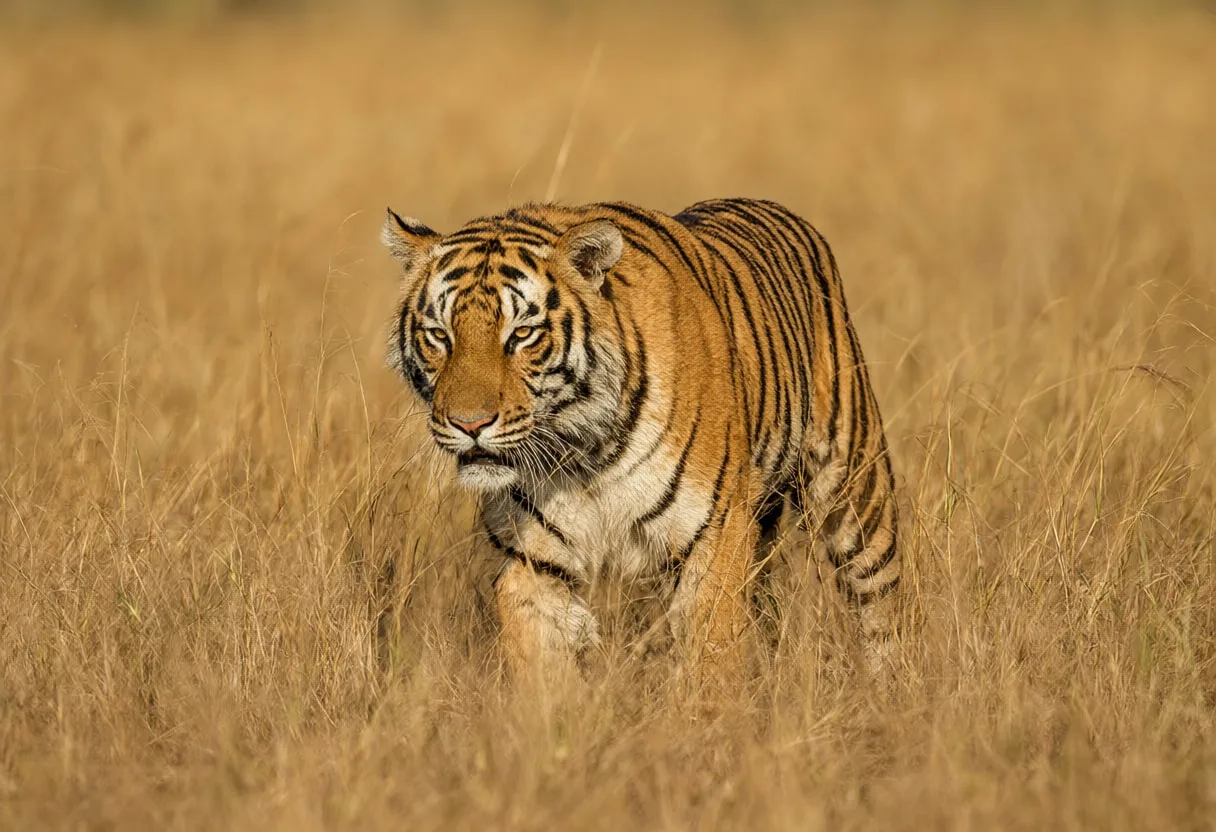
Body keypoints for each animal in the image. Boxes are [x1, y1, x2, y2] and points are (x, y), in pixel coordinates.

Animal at [382, 197, 901, 681]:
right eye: (439, 335)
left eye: (523, 334)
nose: (469, 424)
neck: (583, 455)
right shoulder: (534, 562)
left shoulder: (715, 536)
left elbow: (711, 668)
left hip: (856, 492)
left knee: (880, 606)